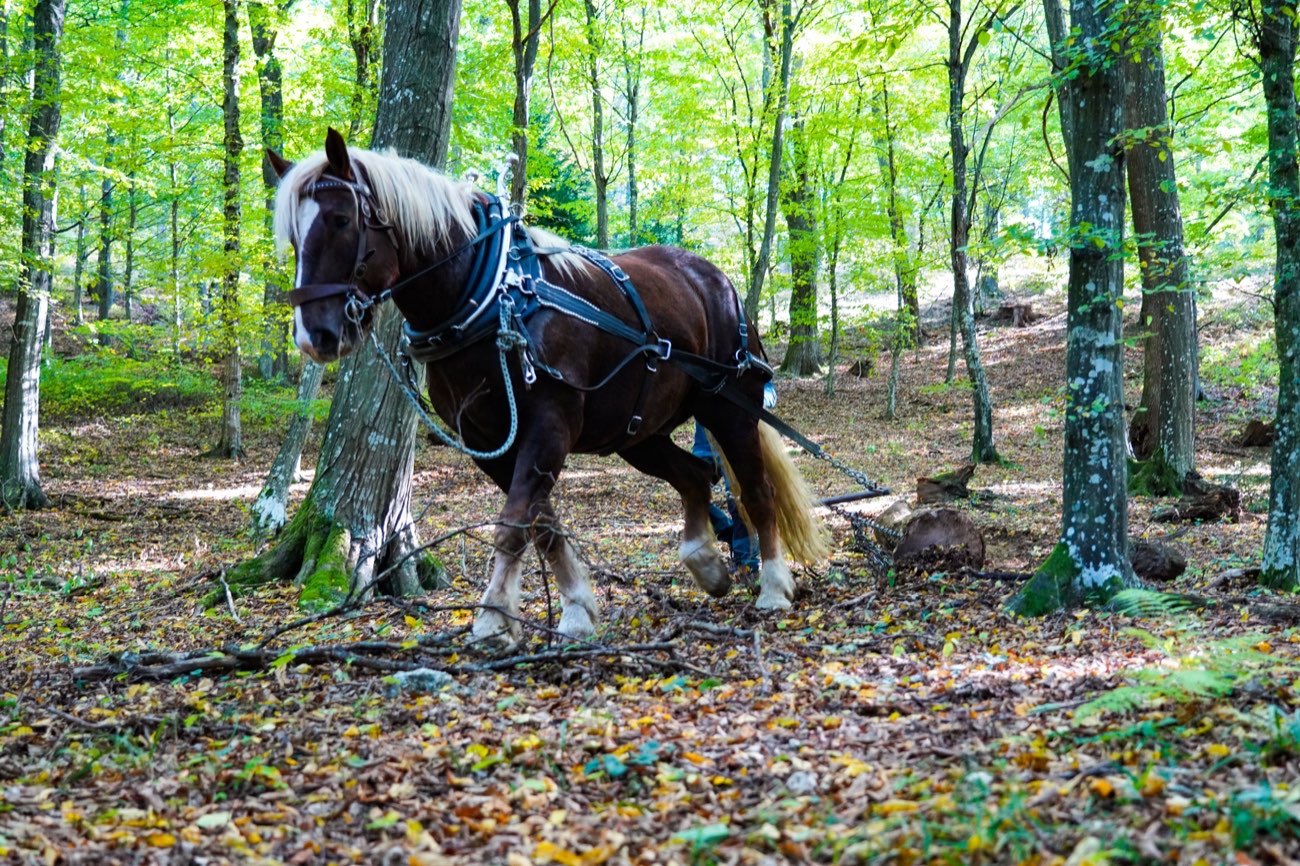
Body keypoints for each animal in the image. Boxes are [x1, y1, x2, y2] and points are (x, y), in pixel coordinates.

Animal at [269, 128, 828, 652]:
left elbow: (514, 524)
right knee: (694, 475)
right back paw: (705, 564)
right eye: (294, 235)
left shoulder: (549, 425)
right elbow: (540, 523)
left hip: (730, 409)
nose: (314, 336)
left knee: (756, 491)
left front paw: (493, 618)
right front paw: (577, 609)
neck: (493, 298)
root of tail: (718, 281)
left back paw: (774, 585)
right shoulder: (491, 445)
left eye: (341, 220)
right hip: (637, 434)